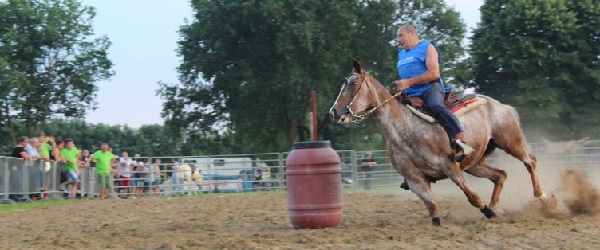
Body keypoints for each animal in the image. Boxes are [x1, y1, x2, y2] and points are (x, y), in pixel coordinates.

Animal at [328, 60, 552, 225]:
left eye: (353, 84)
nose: (334, 112)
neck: (406, 130)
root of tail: (501, 105)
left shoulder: (450, 166)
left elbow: (472, 196)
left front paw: (489, 213)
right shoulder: (415, 180)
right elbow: (432, 207)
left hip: (510, 142)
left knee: (530, 161)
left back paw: (543, 199)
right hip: (475, 162)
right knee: (500, 175)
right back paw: (497, 204)